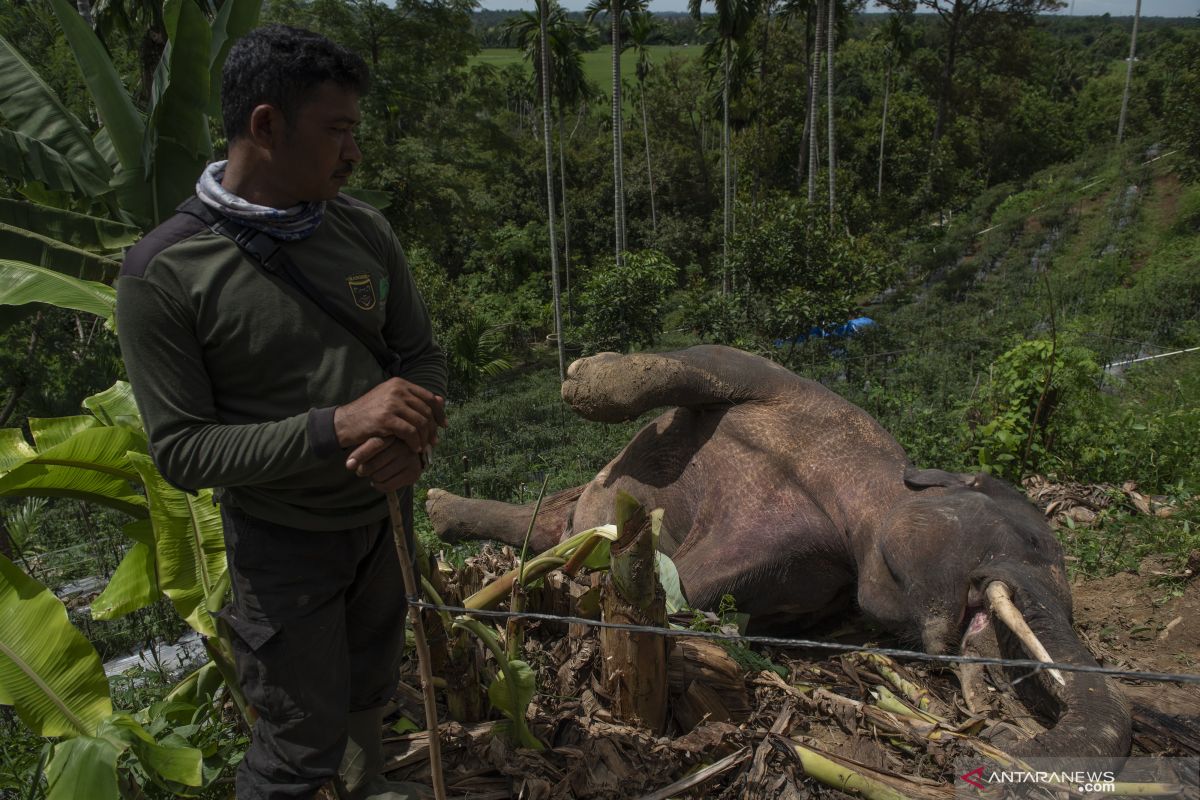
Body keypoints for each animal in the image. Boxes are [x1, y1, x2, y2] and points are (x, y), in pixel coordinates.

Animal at [427, 345, 1128, 758]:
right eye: (1035, 540)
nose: (1006, 729)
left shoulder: (810, 567)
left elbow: (700, 593)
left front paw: (614, 601)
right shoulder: (780, 384)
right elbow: (705, 363)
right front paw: (577, 377)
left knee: (552, 528)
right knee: (555, 516)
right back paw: (440, 508)